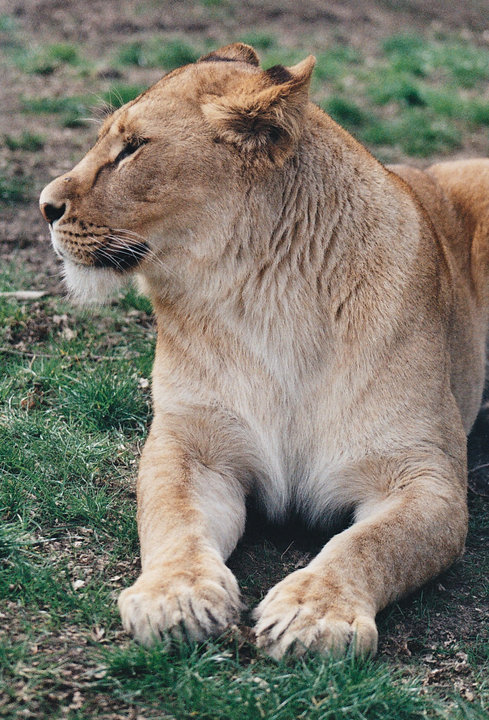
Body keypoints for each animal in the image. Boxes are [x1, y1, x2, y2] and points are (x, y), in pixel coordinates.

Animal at [39, 43, 489, 658]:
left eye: (132, 147)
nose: (43, 206)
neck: (266, 299)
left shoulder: (425, 477)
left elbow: (370, 544)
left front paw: (313, 612)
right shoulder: (192, 446)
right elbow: (173, 518)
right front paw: (175, 596)